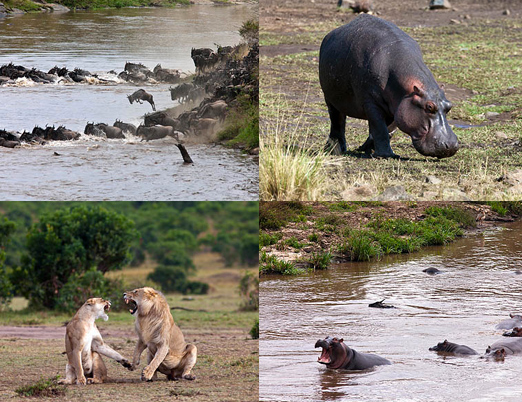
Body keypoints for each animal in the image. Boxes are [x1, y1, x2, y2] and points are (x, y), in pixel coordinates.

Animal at [318, 14, 458, 159]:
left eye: (449, 106)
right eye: (429, 106)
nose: (451, 146)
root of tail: (330, 34)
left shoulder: (398, 105)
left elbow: (387, 129)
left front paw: (367, 148)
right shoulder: (371, 102)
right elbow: (380, 128)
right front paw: (386, 155)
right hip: (330, 98)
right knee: (337, 120)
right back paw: (334, 149)